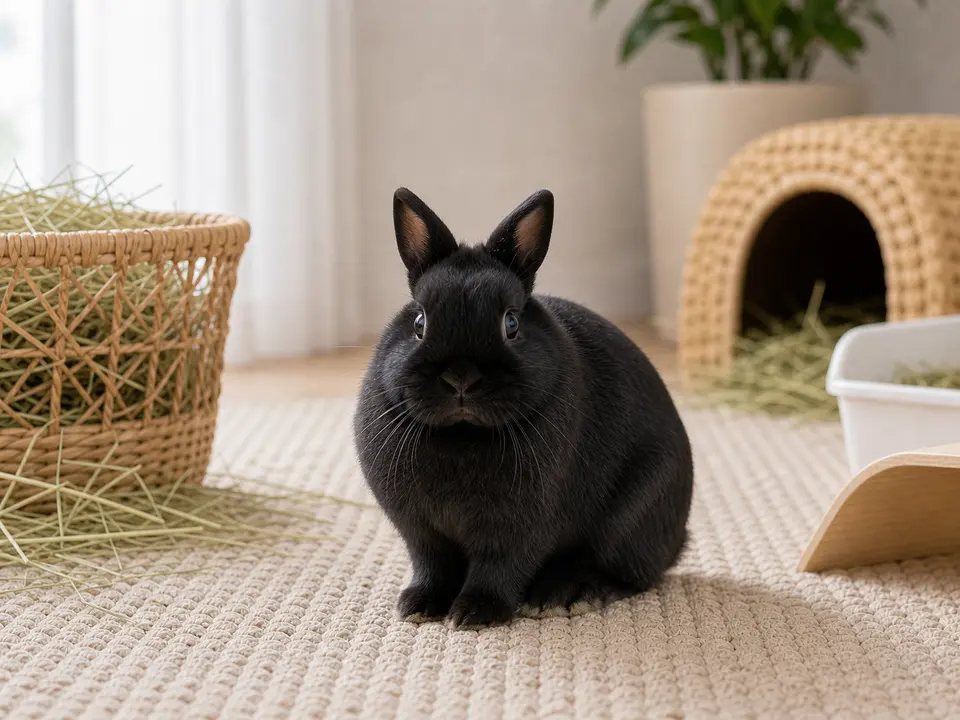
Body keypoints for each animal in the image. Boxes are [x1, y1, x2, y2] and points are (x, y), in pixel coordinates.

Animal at [353, 187, 694, 629]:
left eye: (511, 324)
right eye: (419, 323)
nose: (461, 378)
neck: (462, 435)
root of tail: (679, 538)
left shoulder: (522, 526)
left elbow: (501, 566)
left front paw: (474, 613)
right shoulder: (421, 531)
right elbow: (432, 564)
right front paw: (418, 605)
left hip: (631, 517)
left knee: (624, 572)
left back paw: (565, 596)